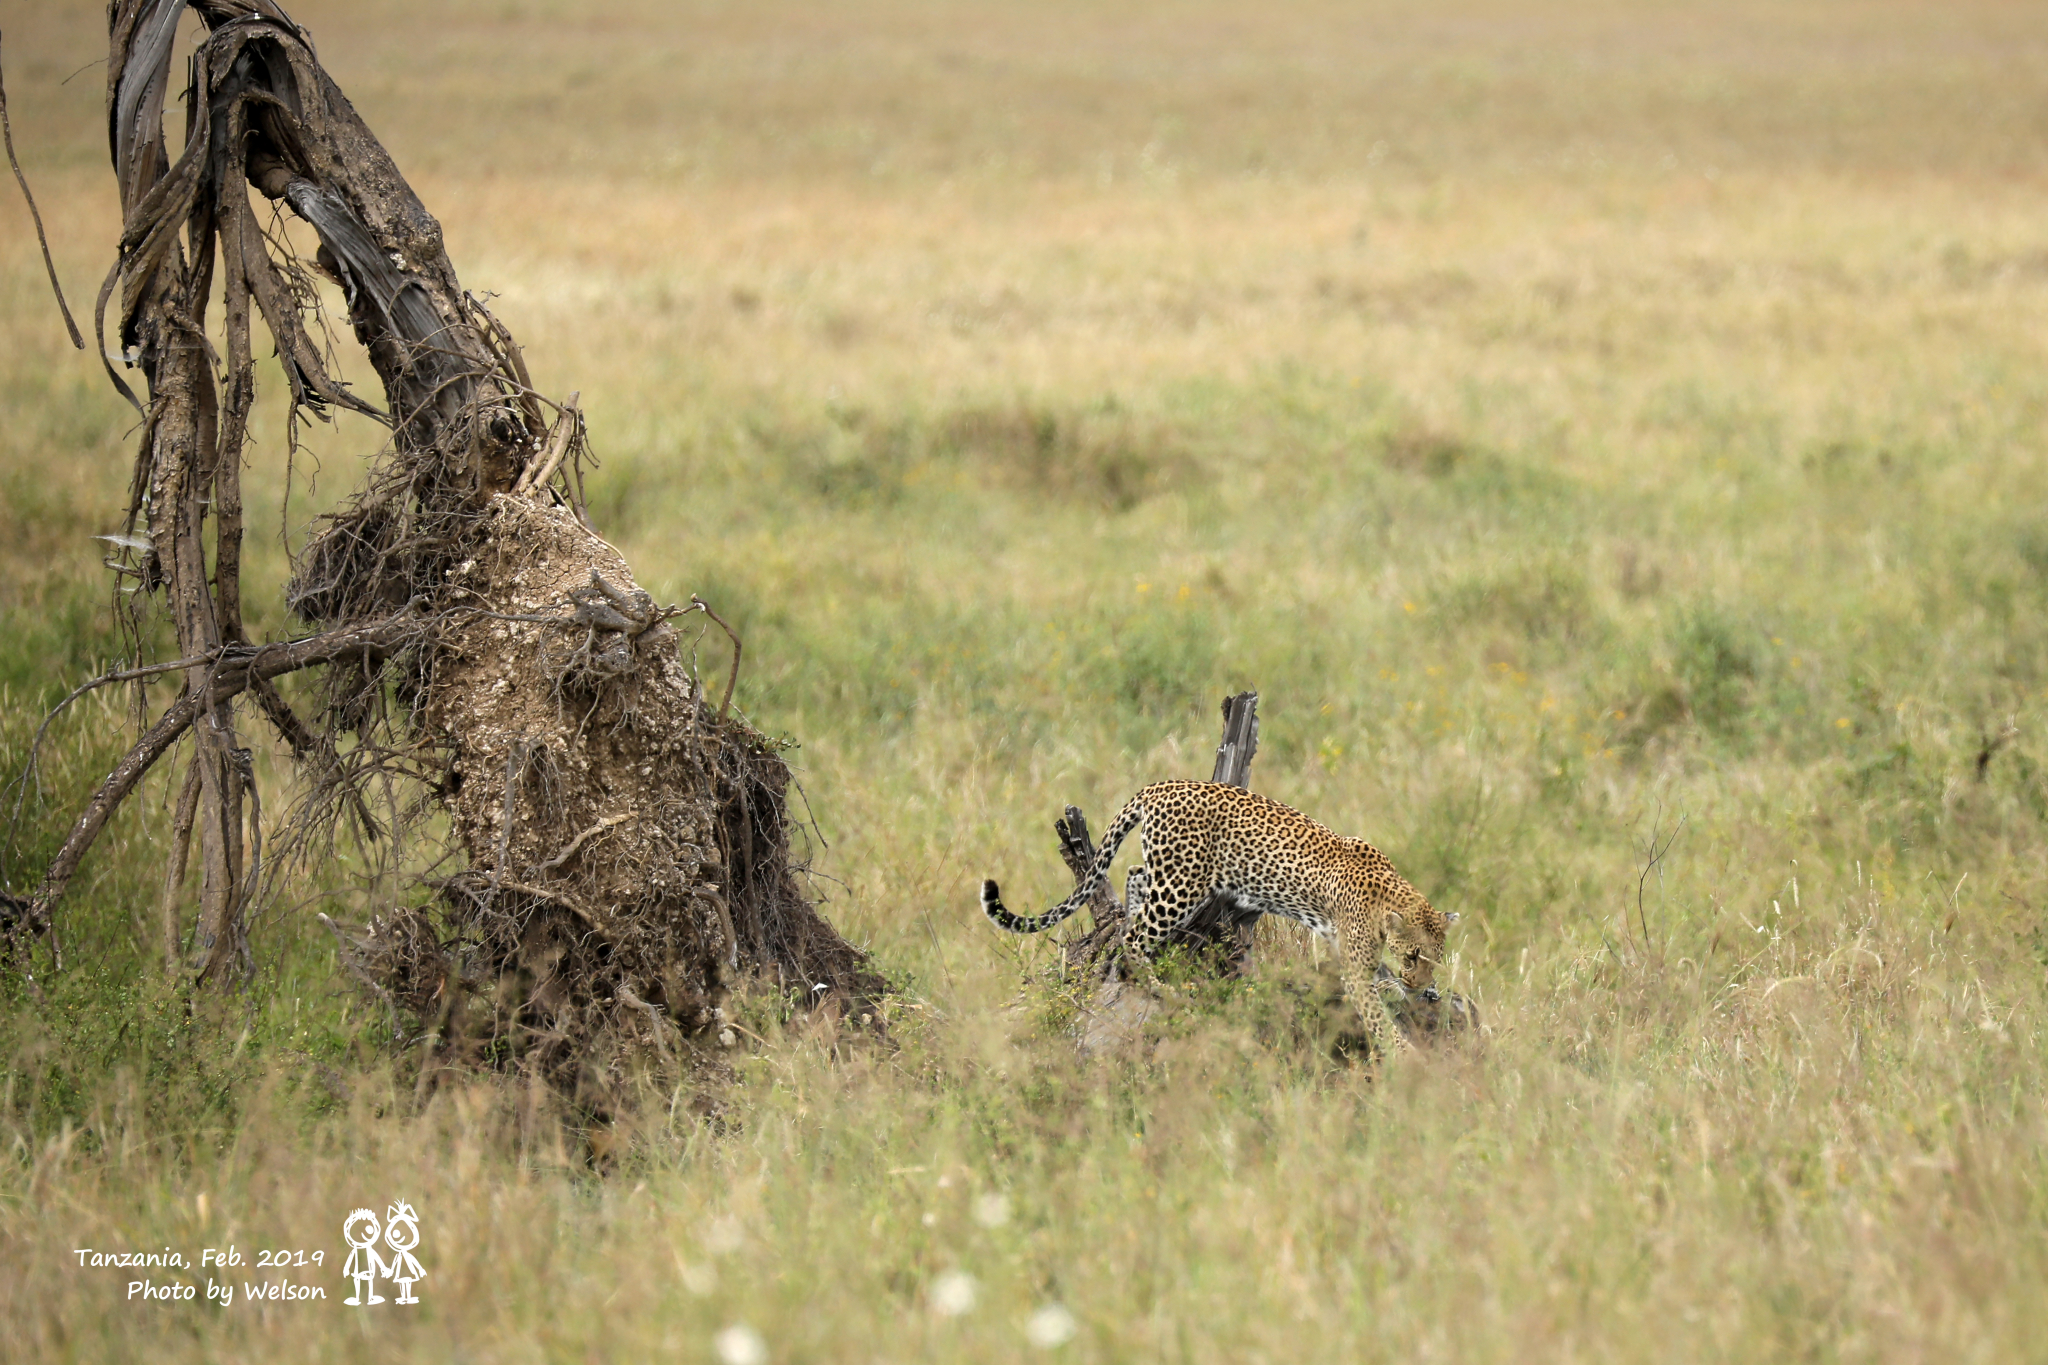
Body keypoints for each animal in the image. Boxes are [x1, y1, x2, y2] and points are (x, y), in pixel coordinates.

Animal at [978, 777, 1449, 1055]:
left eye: (1436, 959)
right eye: (1414, 956)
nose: (1421, 983)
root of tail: (1158, 785)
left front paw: (1407, 996)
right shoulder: (1354, 965)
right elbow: (1375, 1013)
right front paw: (1403, 1054)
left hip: (1169, 872)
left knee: (1133, 876)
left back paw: (1127, 919)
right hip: (1182, 884)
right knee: (1136, 938)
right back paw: (1159, 986)